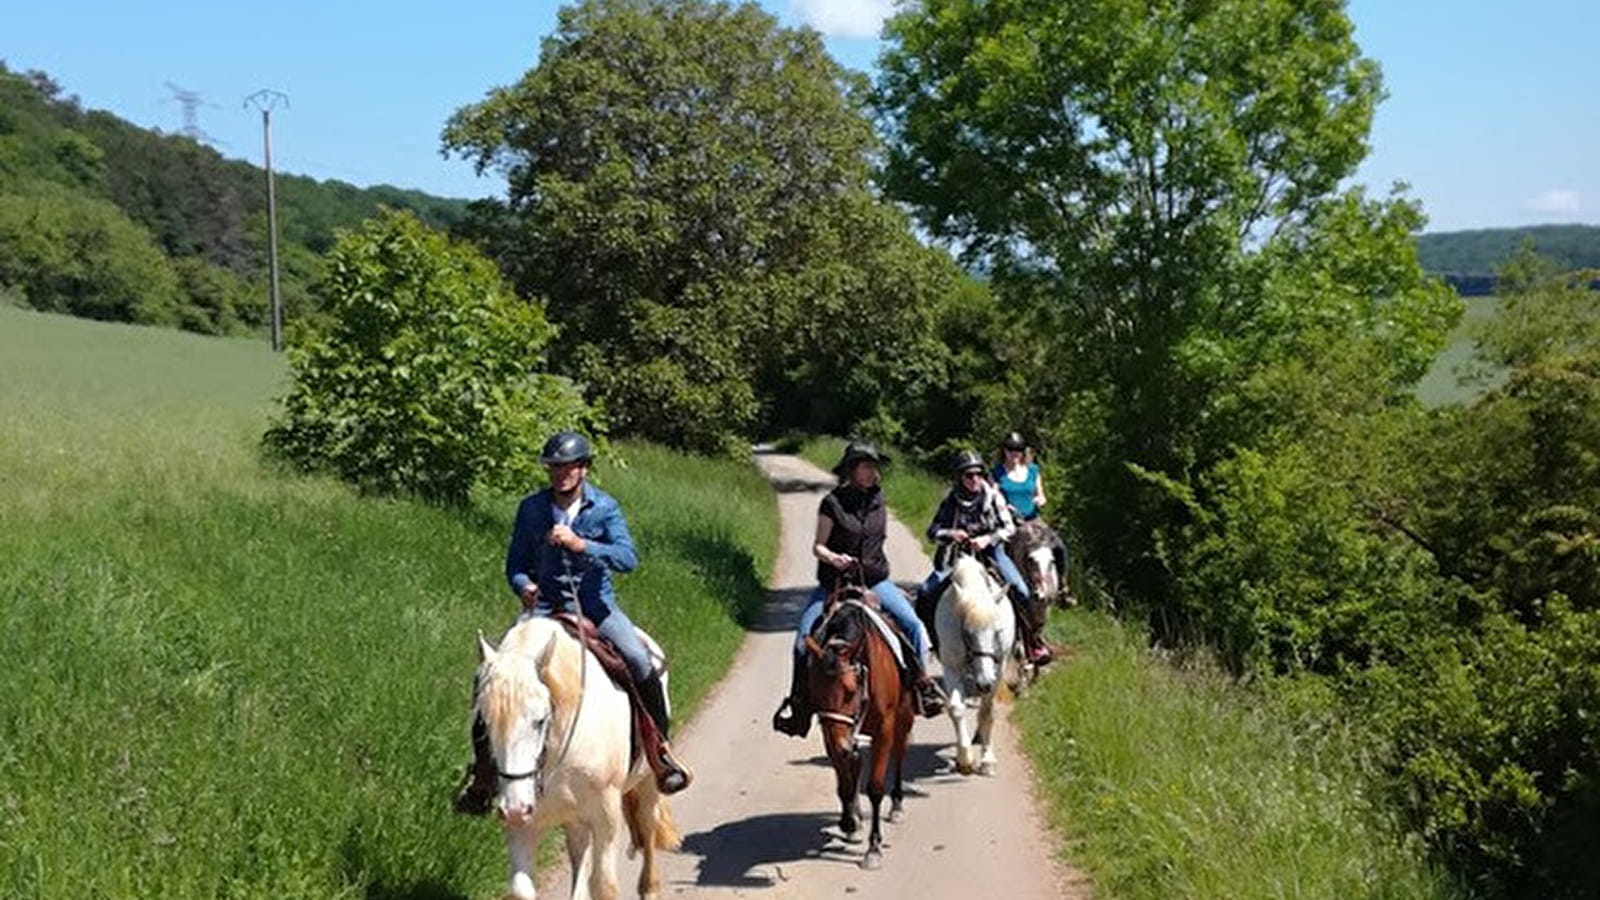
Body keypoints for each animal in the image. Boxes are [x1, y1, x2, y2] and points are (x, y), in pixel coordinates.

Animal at [470, 611, 678, 896]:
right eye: (484, 723)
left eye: (539, 720)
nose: (514, 809)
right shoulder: (524, 827)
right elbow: (523, 888)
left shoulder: (605, 820)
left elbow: (603, 886)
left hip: (648, 781)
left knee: (647, 826)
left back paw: (649, 887)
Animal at [806, 589, 921, 871]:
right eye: (814, 688)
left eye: (849, 690)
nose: (841, 745)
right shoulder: (831, 730)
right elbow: (846, 785)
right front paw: (849, 823)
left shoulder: (883, 730)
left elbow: (875, 788)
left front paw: (874, 848)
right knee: (855, 764)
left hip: (903, 719)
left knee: (899, 754)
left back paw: (897, 806)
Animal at [934, 550, 1017, 775]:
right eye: (967, 633)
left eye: (997, 631)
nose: (985, 683)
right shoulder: (952, 666)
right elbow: (956, 708)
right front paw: (964, 759)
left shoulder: (998, 669)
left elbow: (987, 711)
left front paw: (987, 760)